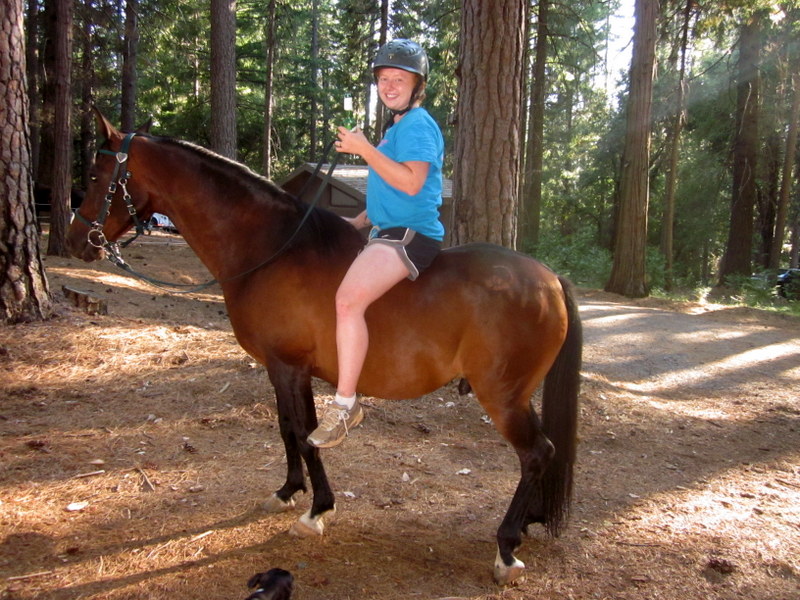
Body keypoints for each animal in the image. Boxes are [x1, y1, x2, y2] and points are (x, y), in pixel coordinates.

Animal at [67, 111, 582, 586]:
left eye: (94, 175)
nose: (76, 240)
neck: (270, 248)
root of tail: (550, 278)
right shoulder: (278, 368)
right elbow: (286, 431)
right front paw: (288, 491)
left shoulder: (291, 367)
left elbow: (303, 433)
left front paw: (317, 510)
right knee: (540, 453)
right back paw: (530, 522)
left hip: (502, 396)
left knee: (537, 452)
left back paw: (507, 545)